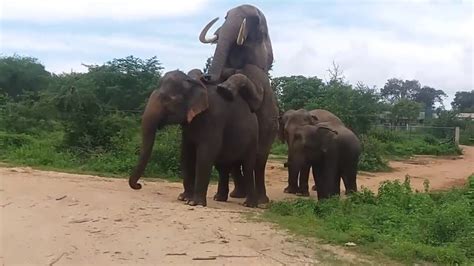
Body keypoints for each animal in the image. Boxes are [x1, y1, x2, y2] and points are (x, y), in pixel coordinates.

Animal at [128, 69, 262, 208]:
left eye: (168, 99)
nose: (139, 185)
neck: (193, 83)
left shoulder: (214, 118)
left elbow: (205, 153)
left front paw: (194, 203)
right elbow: (186, 153)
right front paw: (183, 198)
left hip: (253, 138)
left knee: (247, 166)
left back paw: (249, 204)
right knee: (223, 167)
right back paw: (219, 198)